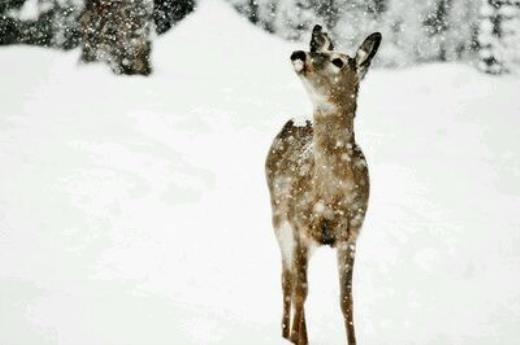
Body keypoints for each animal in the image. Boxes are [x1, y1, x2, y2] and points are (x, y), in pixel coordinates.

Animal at [266, 24, 380, 344]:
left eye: (339, 61)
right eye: (319, 51)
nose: (299, 53)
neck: (332, 195)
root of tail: (294, 120)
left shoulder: (351, 233)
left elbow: (347, 300)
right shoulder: (300, 224)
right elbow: (302, 290)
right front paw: (295, 338)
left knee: (294, 279)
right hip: (279, 217)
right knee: (288, 279)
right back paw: (286, 334)